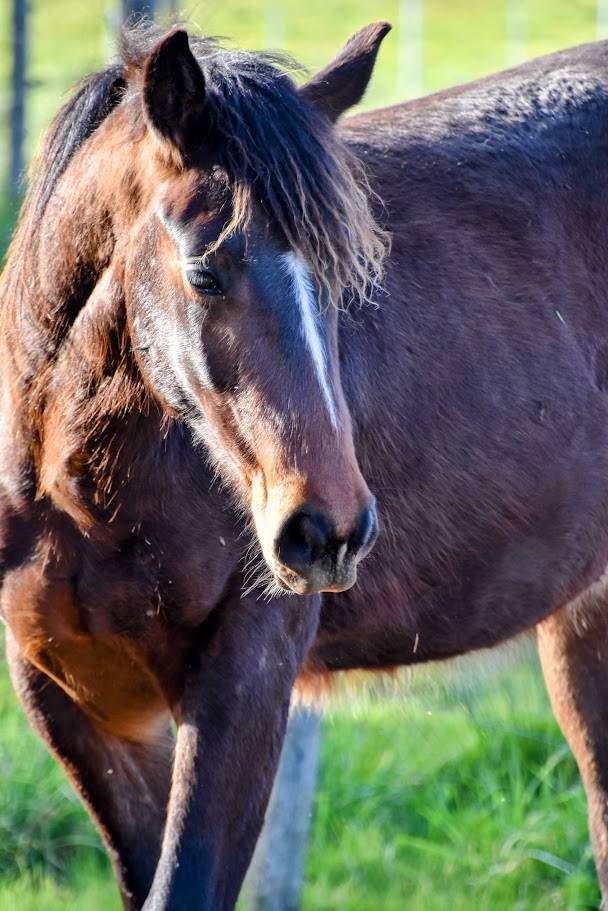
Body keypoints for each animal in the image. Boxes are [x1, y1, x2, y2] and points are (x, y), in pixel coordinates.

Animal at [3, 17, 608, 910]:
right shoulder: (79, 702)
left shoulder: (245, 678)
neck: (81, 493)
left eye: (342, 275)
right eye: (204, 271)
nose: (329, 530)